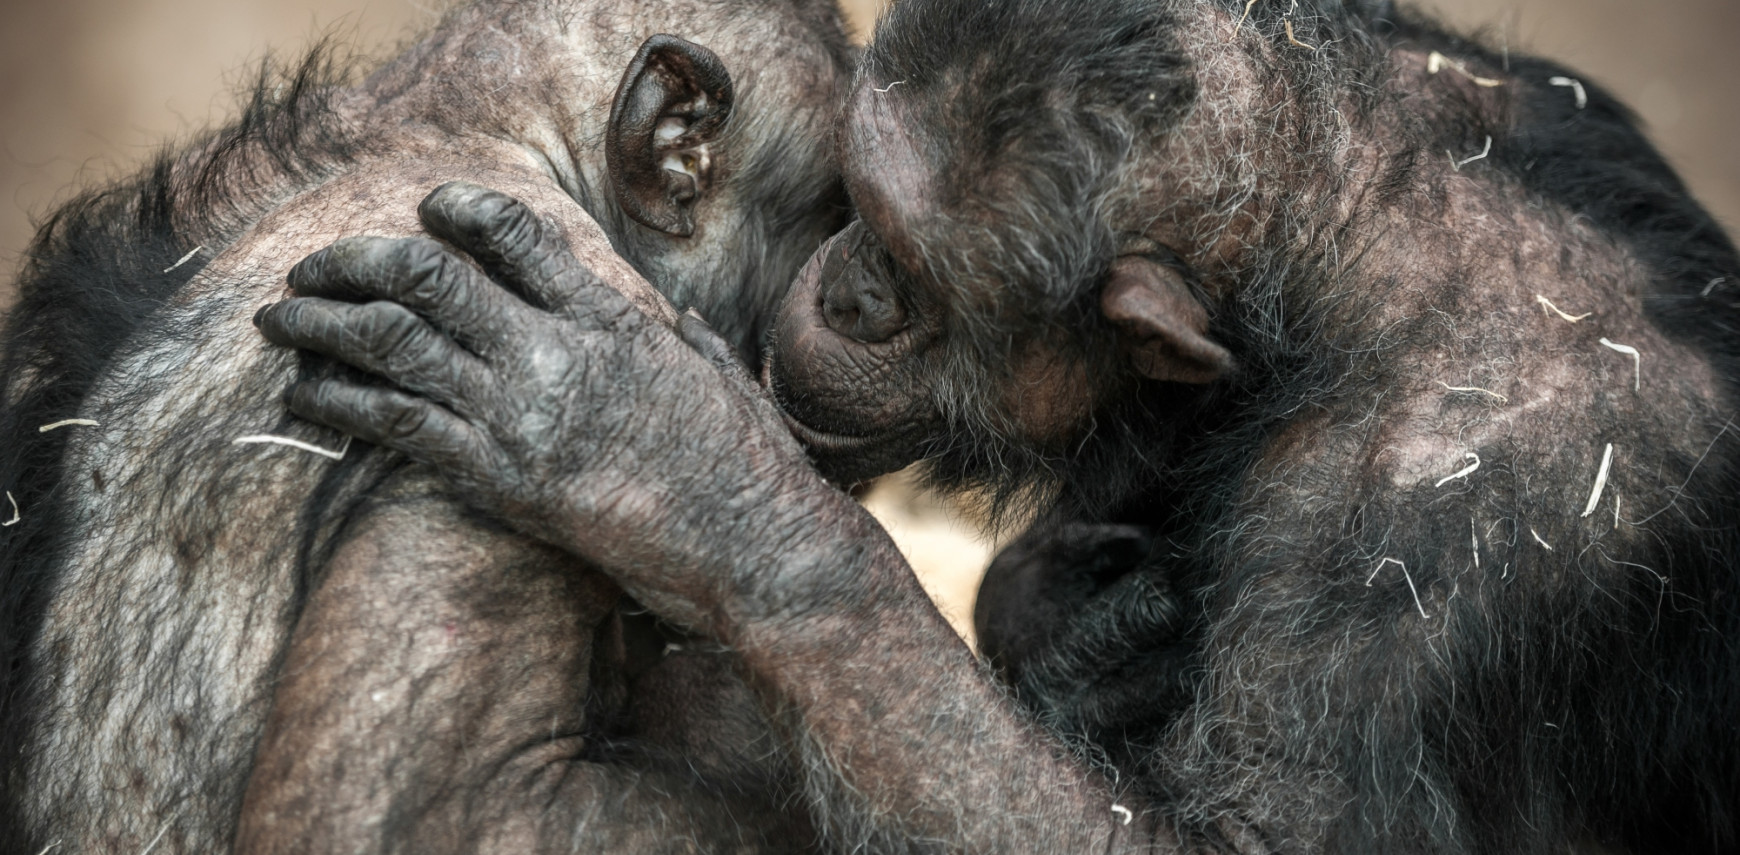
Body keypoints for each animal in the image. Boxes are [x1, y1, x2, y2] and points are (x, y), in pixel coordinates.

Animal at [257, 1, 1740, 855]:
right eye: (851, 202)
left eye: (904, 271)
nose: (843, 285)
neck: (1329, 240)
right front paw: (1089, 634)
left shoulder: (1451, 507)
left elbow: (1260, 841)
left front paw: (652, 451)